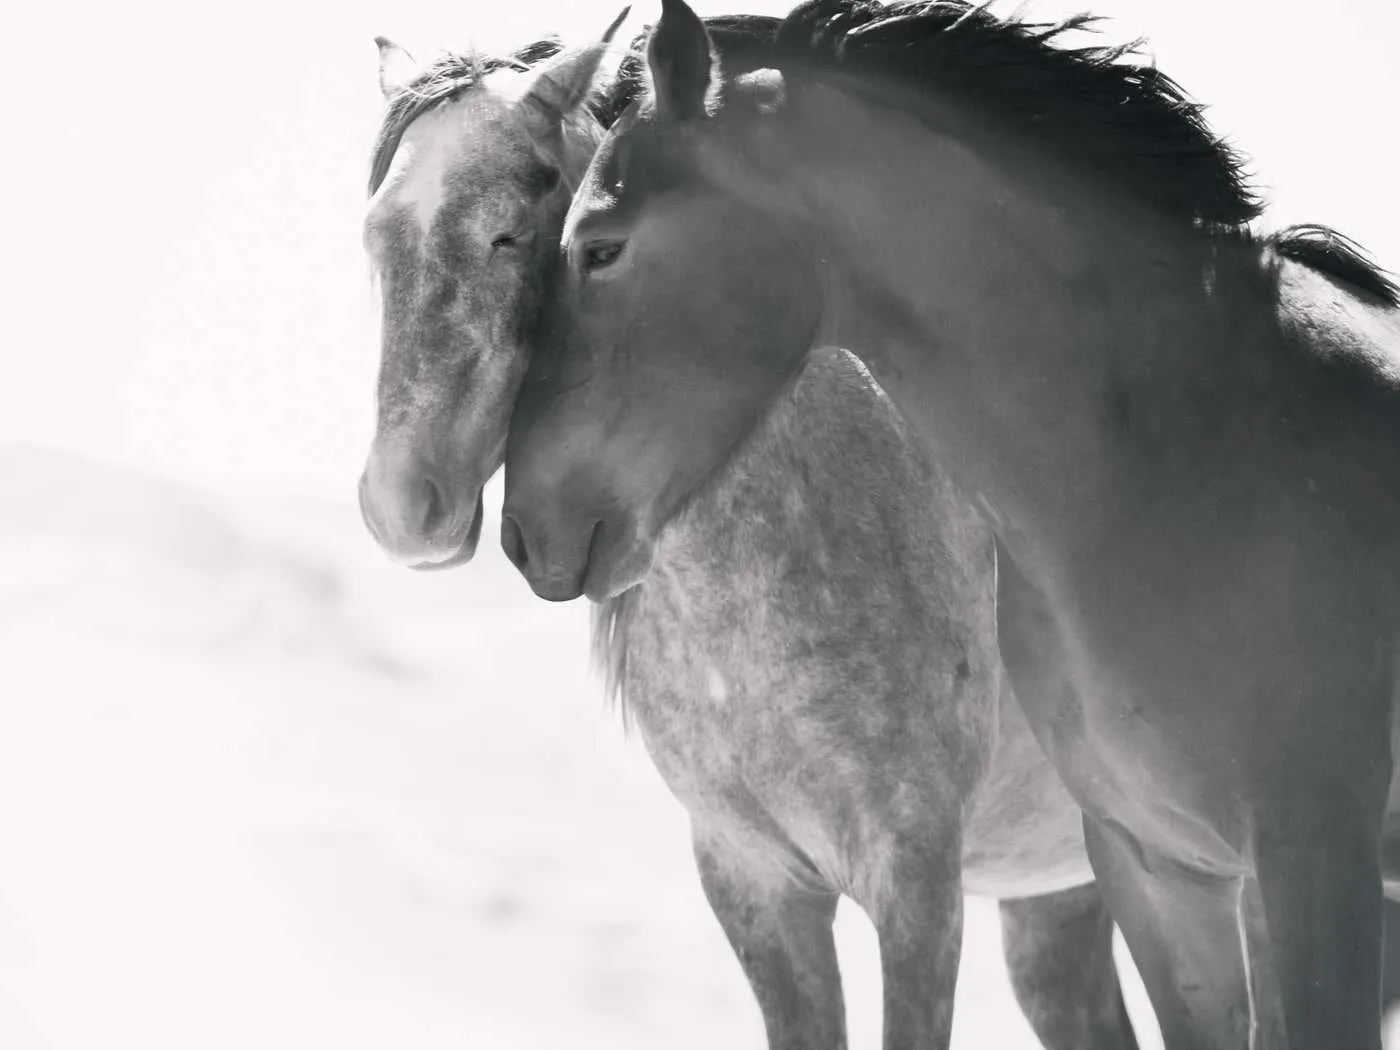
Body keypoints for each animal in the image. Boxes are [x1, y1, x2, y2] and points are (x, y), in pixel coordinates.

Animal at [357, 16, 1143, 1049]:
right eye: (375, 238)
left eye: (510, 232)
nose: (401, 505)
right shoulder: (755, 884)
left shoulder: (917, 890)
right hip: (1062, 904)